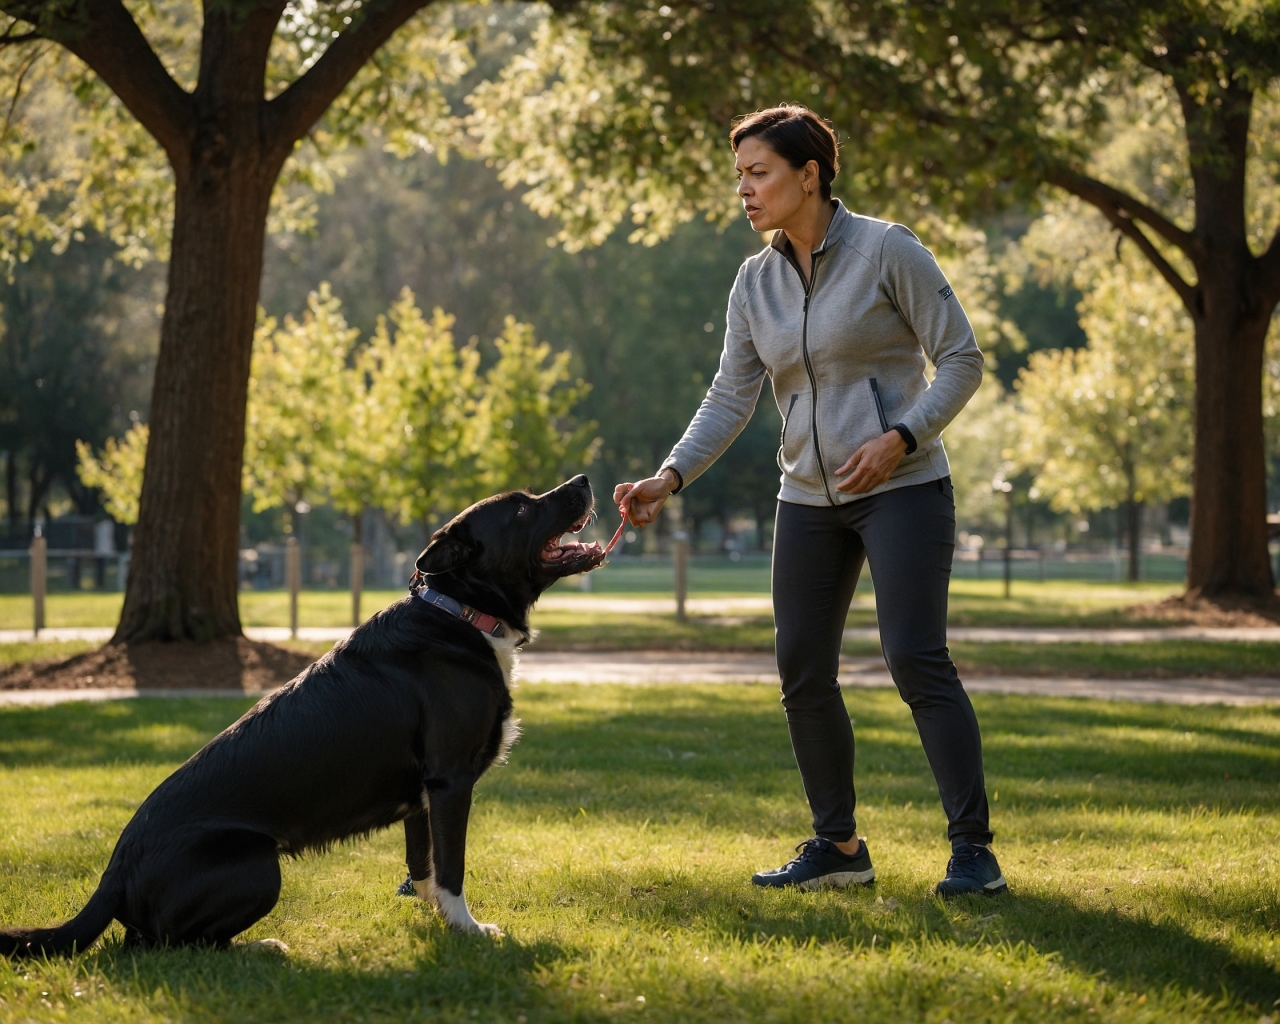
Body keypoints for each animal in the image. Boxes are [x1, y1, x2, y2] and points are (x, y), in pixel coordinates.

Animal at [0, 476, 606, 957]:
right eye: (522, 509)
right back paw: (261, 947)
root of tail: (114, 871)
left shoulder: (423, 797)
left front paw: (434, 921)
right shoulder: (451, 782)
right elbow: (451, 868)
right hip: (258, 863)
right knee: (171, 945)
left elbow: (424, 867)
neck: (459, 614)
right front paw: (468, 930)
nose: (583, 479)